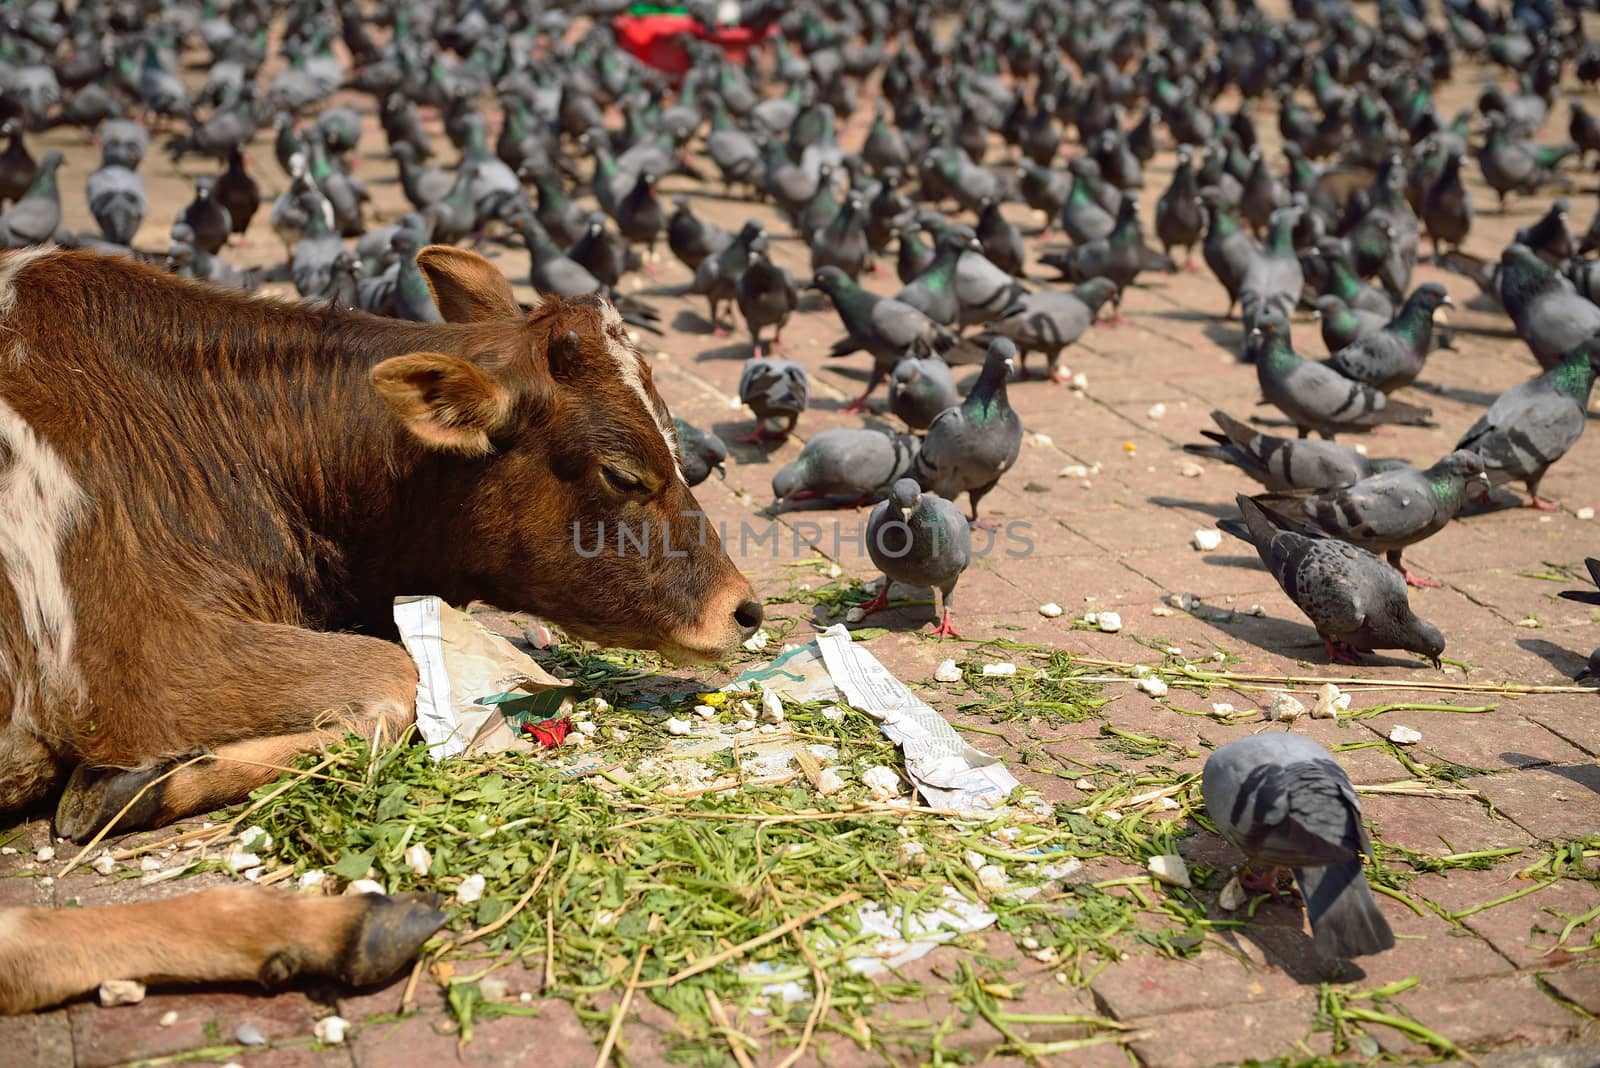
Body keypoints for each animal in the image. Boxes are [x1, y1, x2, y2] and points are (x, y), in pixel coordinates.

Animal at [0, 246, 761, 1016]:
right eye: (623, 473)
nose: (745, 611)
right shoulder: (135, 667)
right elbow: (393, 681)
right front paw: (150, 778)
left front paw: (151, 778)